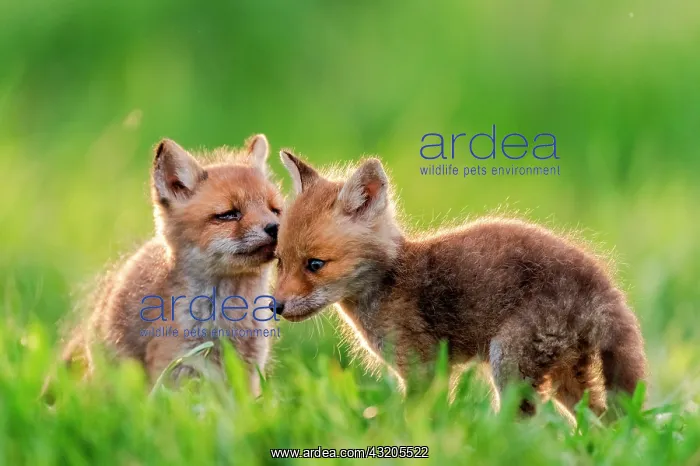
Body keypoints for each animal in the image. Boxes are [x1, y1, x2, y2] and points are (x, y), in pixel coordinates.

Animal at [273, 150, 647, 418]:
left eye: (315, 265)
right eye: (279, 261)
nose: (275, 305)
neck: (391, 279)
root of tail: (601, 283)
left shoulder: (422, 369)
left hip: (510, 363)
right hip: (564, 377)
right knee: (601, 422)